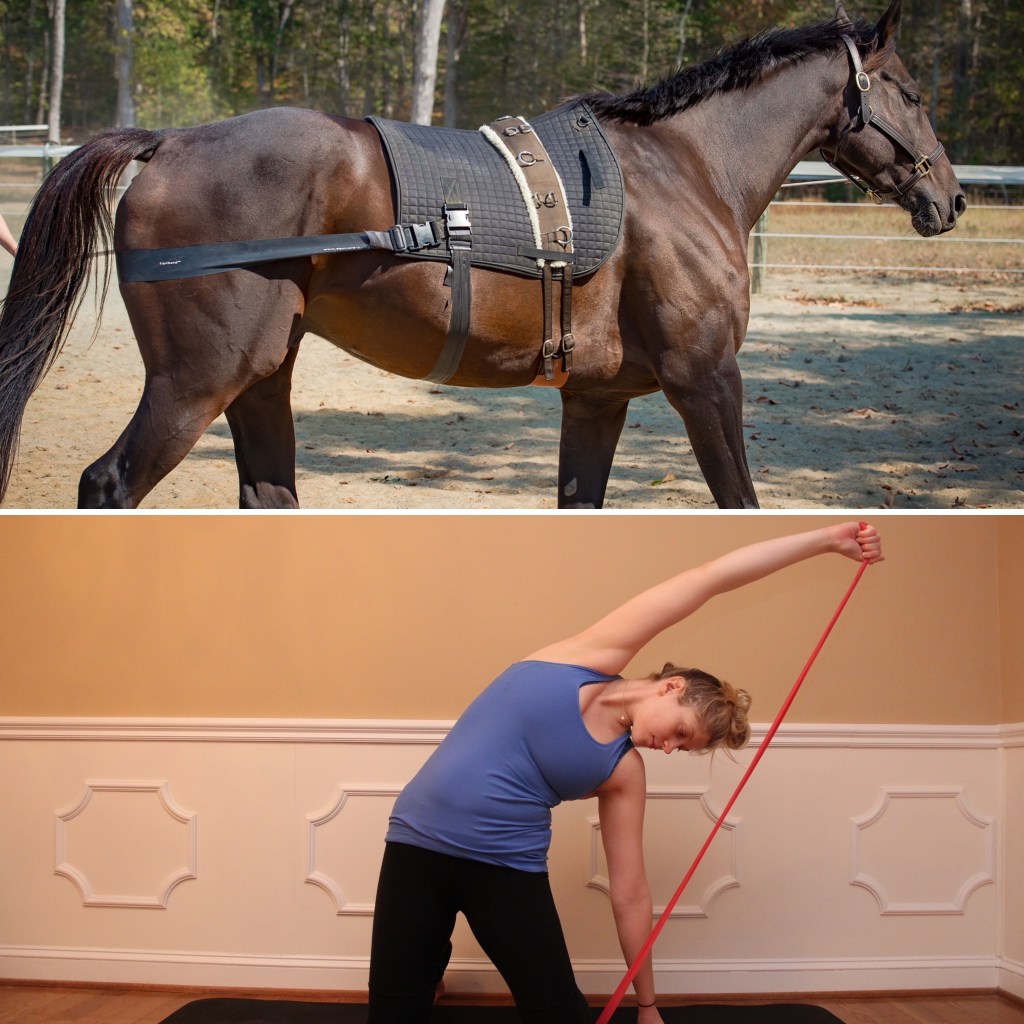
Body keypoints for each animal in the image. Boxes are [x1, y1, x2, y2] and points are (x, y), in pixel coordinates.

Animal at [0, 0, 964, 509]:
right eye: (913, 92)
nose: (949, 198)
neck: (686, 170)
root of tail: (169, 143)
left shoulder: (598, 399)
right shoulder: (707, 382)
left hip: (261, 377)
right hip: (195, 382)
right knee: (108, 484)